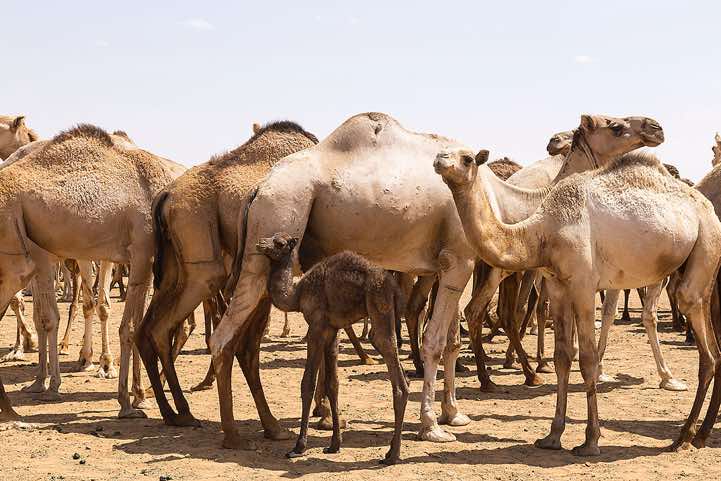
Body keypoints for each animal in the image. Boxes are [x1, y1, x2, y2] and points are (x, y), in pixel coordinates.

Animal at [136, 121, 318, 430]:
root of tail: (165, 195)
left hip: (173, 269)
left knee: (146, 329)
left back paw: (173, 411)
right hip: (201, 259)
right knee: (163, 327)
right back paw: (183, 410)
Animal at [258, 233, 408, 464]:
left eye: (280, 243)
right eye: (271, 236)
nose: (259, 243)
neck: (297, 294)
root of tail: (393, 287)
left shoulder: (317, 326)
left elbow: (308, 383)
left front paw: (299, 446)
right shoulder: (332, 331)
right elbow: (333, 385)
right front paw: (334, 444)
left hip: (378, 305)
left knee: (394, 372)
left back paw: (392, 455)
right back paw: (392, 451)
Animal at [435, 147, 721, 455]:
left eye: (466, 158)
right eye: (444, 153)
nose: (439, 160)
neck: (544, 232)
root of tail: (709, 209)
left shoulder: (584, 285)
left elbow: (587, 359)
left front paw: (590, 440)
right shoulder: (557, 285)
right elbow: (562, 357)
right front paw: (552, 436)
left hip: (705, 245)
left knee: (704, 347)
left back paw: (684, 436)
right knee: (715, 350)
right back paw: (700, 434)